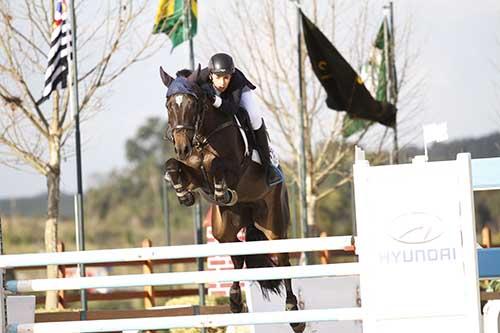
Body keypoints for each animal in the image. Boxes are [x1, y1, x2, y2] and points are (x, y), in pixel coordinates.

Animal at [160, 65, 304, 332]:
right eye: (169, 105)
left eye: (193, 104)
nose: (183, 147)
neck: (204, 136)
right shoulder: (195, 174)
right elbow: (173, 165)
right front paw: (184, 194)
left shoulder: (235, 170)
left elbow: (217, 165)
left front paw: (219, 190)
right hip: (224, 227)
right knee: (237, 256)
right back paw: (235, 302)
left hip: (274, 225)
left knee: (282, 260)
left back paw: (293, 312)